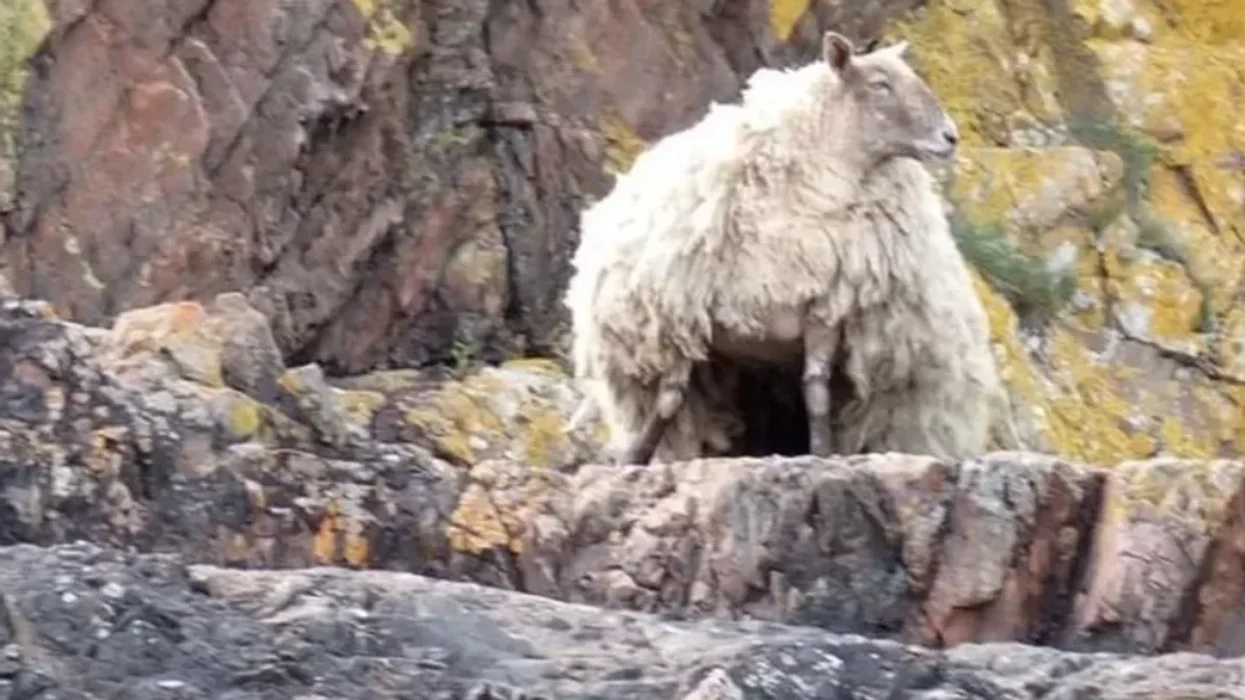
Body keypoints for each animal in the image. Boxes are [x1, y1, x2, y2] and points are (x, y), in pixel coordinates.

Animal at [564, 30, 1001, 465]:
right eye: (881, 85)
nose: (950, 137)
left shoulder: (826, 310)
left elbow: (816, 391)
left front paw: (821, 454)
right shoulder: (683, 316)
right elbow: (670, 398)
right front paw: (634, 459)